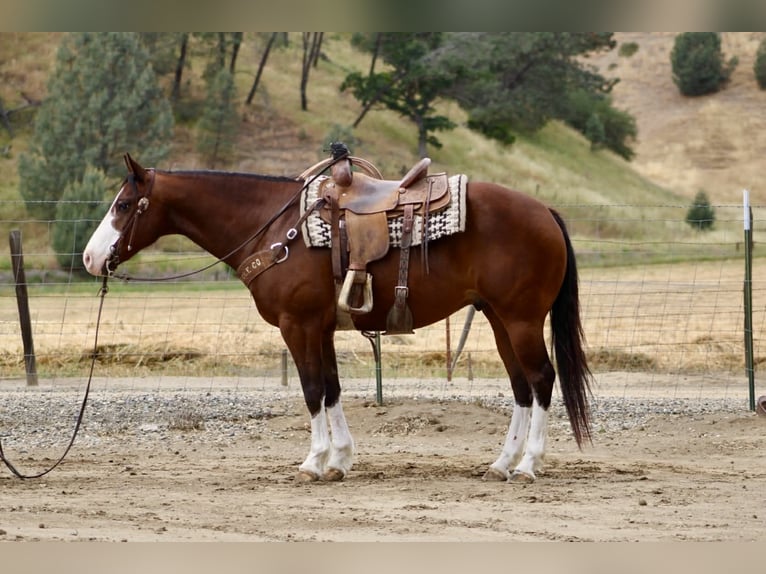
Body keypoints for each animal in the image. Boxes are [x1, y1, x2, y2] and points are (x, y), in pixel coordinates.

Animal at [82, 153, 592, 483]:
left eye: (123, 205)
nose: (90, 258)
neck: (273, 226)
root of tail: (545, 211)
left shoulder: (298, 325)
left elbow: (311, 390)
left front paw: (314, 461)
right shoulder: (321, 327)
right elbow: (331, 388)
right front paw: (341, 460)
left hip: (522, 319)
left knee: (541, 379)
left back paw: (527, 465)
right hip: (499, 319)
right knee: (521, 386)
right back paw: (502, 463)